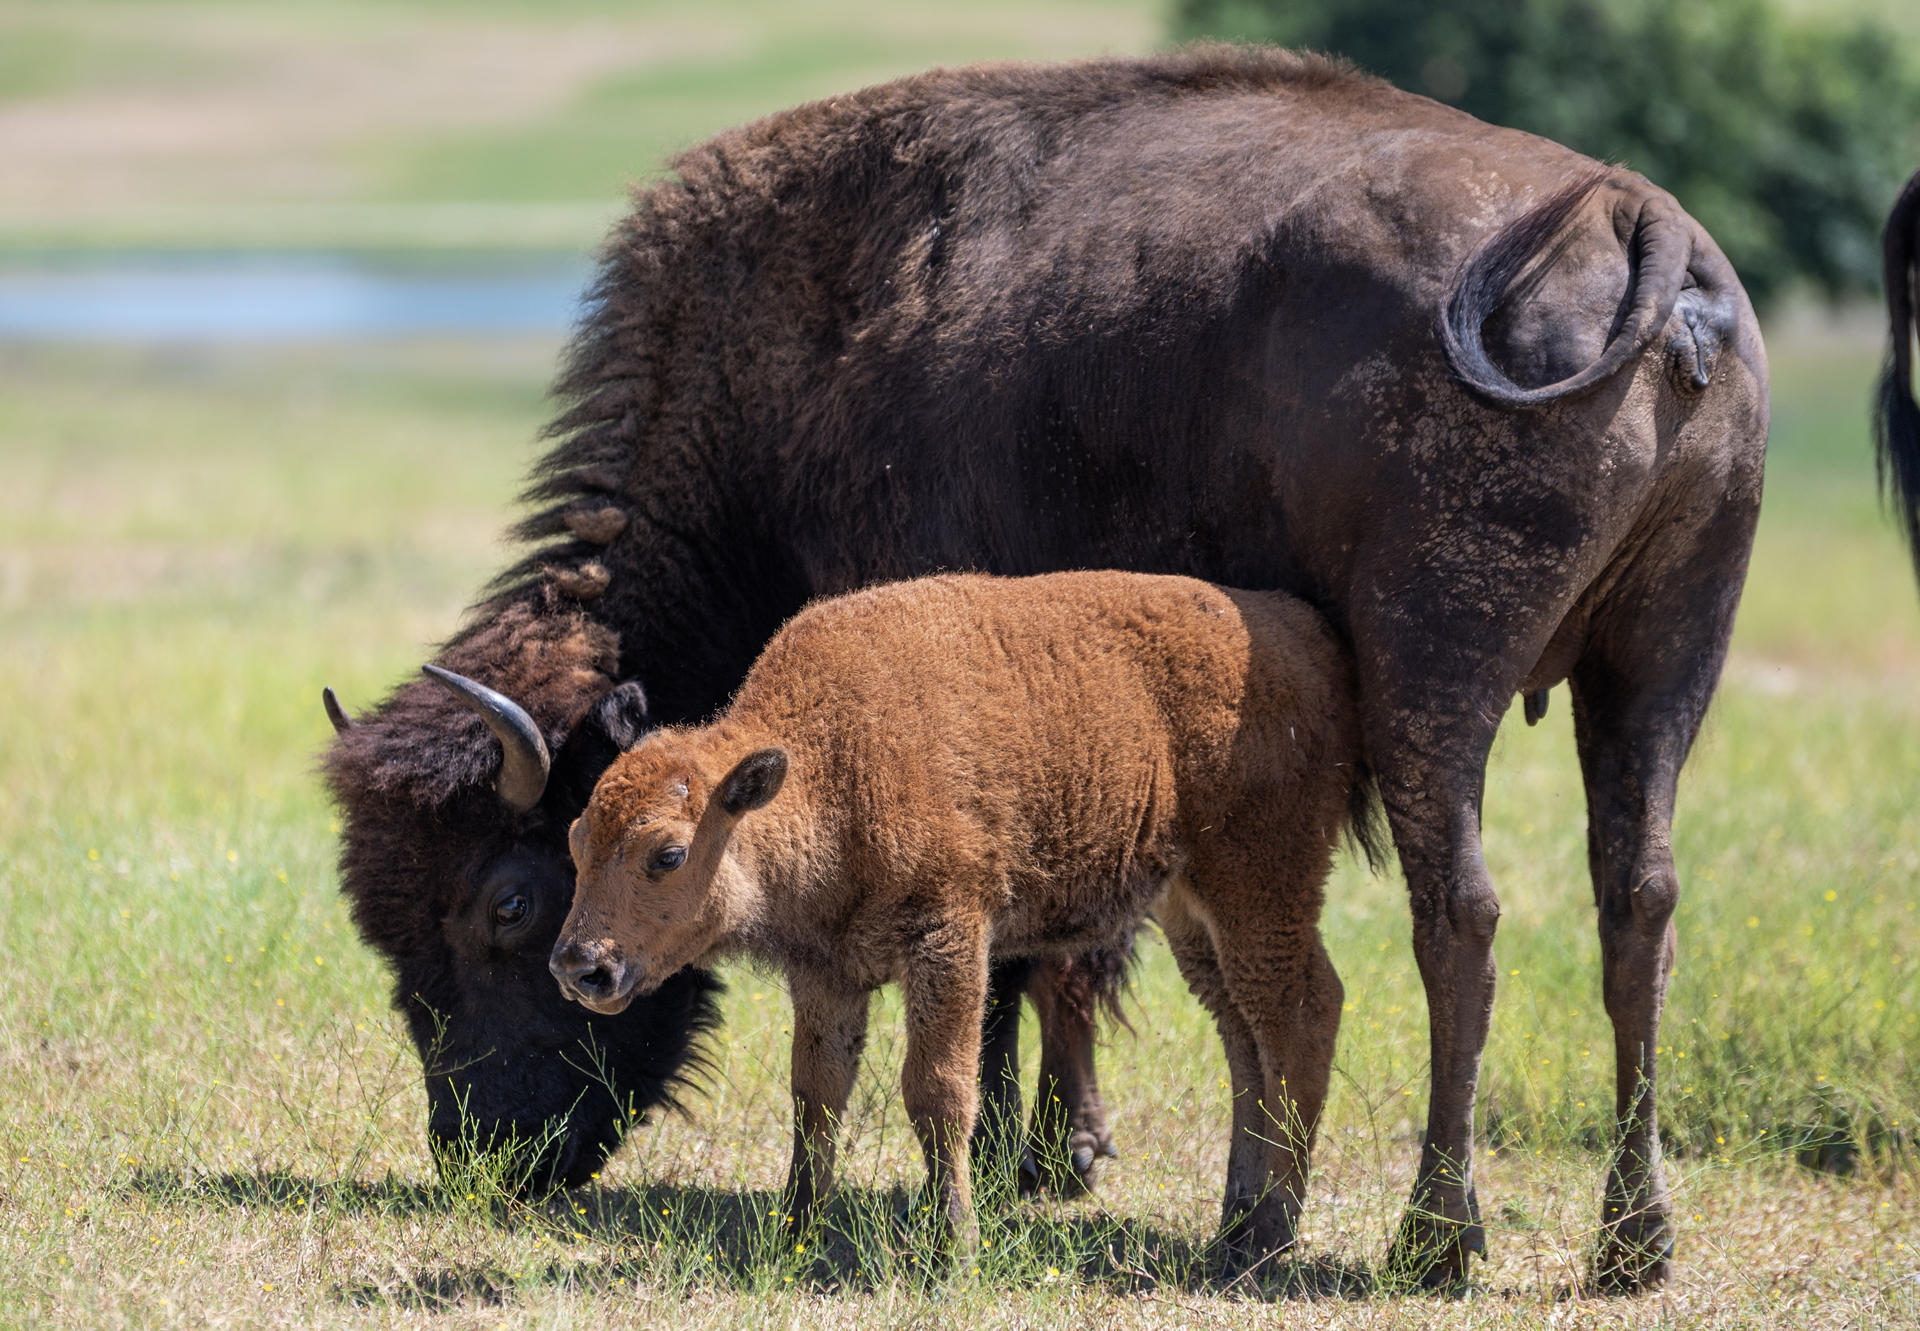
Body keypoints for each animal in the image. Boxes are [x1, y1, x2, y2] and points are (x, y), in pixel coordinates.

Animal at [552, 572, 1367, 1259]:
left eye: (667, 854)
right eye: (577, 837)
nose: (579, 966)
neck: (830, 764)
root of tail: (1308, 636)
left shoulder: (949, 936)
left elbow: (938, 1090)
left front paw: (955, 1246)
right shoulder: (827, 973)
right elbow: (816, 1095)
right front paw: (795, 1233)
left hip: (1260, 887)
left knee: (1302, 1017)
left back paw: (1267, 1244)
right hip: (1192, 911)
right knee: (1245, 1041)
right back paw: (1233, 1226)